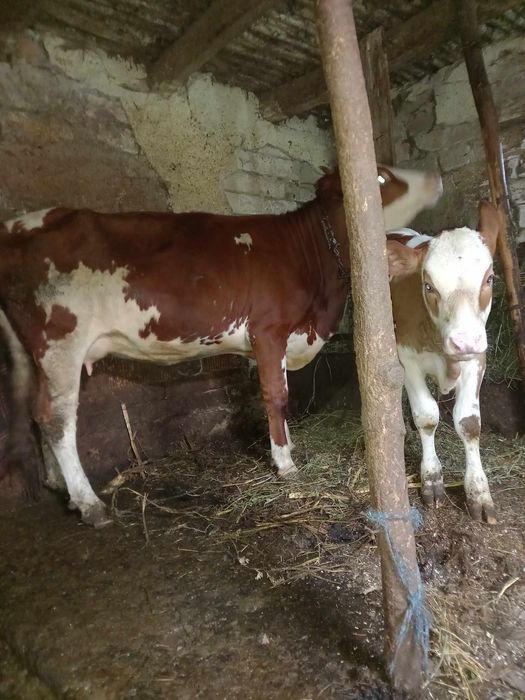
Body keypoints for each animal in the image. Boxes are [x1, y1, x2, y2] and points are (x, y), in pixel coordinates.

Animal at [0, 165, 442, 527]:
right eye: (380, 177)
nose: (434, 178)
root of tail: (19, 223)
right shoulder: (268, 330)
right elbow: (276, 395)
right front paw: (284, 462)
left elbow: (279, 394)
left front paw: (286, 445)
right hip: (60, 341)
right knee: (56, 417)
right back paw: (89, 503)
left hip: (38, 352)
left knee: (38, 412)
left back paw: (60, 486)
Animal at [387, 200, 501, 524]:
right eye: (428, 286)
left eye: (489, 279)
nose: (464, 341)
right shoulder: (407, 358)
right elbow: (427, 417)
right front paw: (432, 479)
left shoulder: (477, 358)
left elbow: (469, 423)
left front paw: (479, 492)